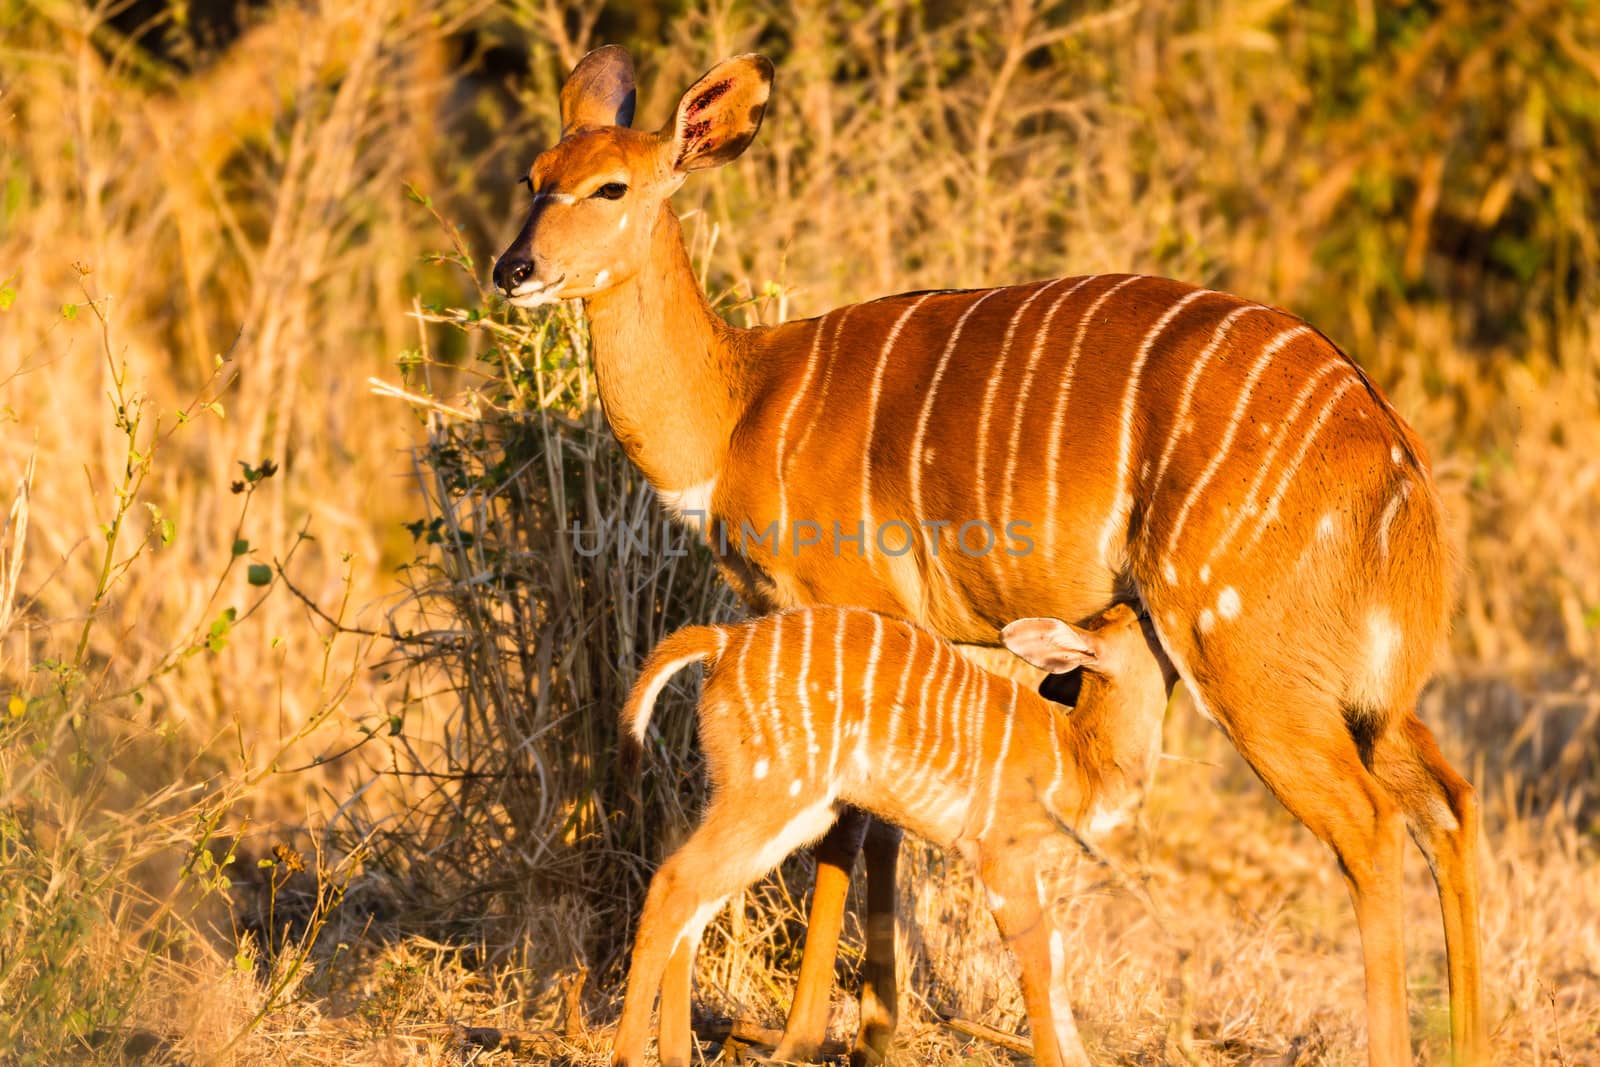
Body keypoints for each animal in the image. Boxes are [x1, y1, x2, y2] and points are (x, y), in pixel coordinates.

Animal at [611, 604, 1164, 1062]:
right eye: (1145, 622)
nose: (1147, 605)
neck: (1078, 759)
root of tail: (722, 641)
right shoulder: (1000, 853)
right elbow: (1036, 963)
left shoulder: (1029, 863)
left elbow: (1056, 955)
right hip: (772, 792)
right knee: (675, 881)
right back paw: (628, 1054)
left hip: (782, 805)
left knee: (696, 900)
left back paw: (676, 1055)